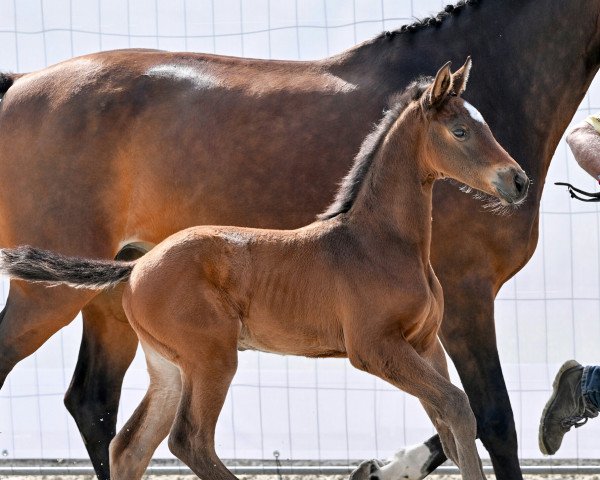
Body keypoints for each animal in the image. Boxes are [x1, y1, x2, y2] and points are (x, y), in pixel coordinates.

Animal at [0, 1, 596, 478]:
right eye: (461, 130)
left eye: (486, 122)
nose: (516, 181)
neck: (378, 240)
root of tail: (137, 268)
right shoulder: (388, 341)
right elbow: (476, 414)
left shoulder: (425, 341)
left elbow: (454, 423)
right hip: (192, 353)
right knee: (185, 440)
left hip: (160, 359)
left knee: (122, 437)